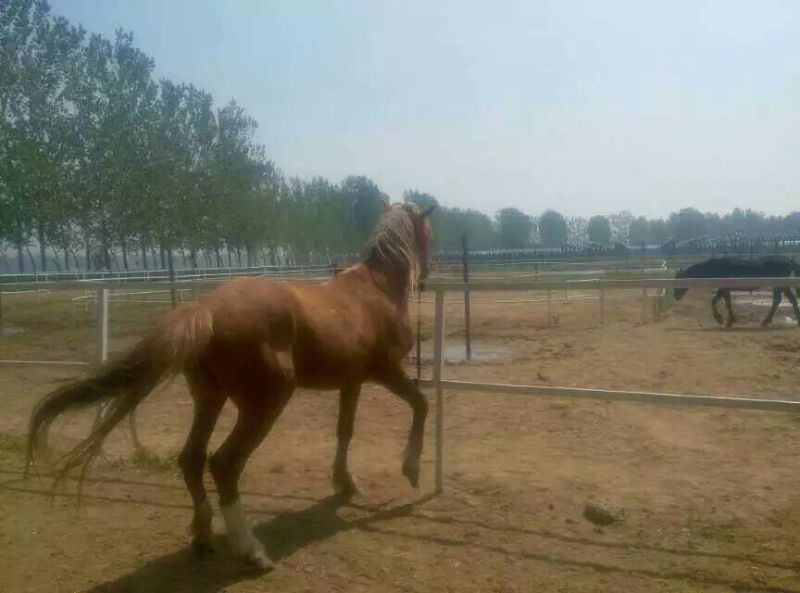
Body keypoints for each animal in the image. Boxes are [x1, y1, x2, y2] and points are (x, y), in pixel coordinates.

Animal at [26, 202, 436, 570]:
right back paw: (251, 551)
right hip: (263, 404)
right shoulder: (386, 371)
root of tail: (206, 311)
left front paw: (346, 483)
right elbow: (420, 404)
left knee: (191, 459)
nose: (428, 272)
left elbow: (345, 430)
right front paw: (411, 468)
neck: (375, 290)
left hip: (209, 399)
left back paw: (202, 535)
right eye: (429, 233)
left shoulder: (351, 381)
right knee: (224, 464)